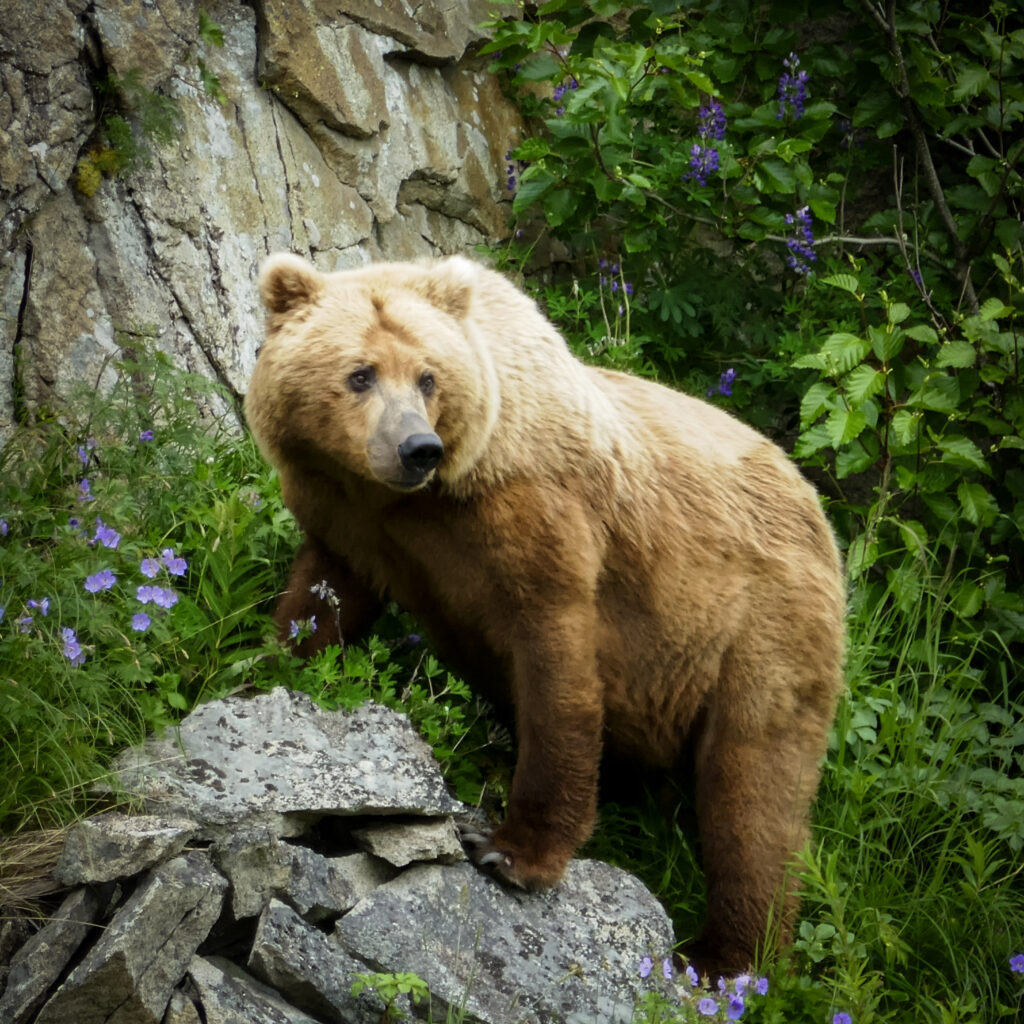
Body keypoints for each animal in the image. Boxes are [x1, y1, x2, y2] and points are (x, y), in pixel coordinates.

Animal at [244, 252, 846, 974]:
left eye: (427, 375)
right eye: (360, 373)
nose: (418, 448)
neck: (422, 500)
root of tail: (817, 506)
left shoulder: (539, 524)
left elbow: (557, 675)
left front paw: (511, 851)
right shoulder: (351, 520)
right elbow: (319, 600)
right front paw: (269, 672)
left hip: (757, 631)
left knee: (752, 789)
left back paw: (725, 956)